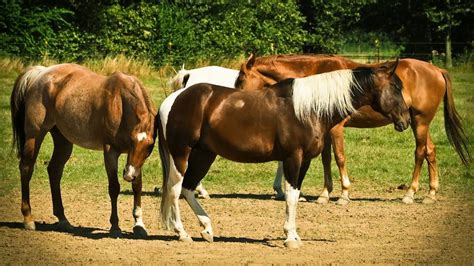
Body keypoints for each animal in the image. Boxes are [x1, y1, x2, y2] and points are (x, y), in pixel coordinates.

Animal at [10, 64, 157, 237]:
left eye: (149, 146)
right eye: (133, 141)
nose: (128, 175)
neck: (120, 104)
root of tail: (40, 73)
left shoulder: (135, 161)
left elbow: (137, 186)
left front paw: (139, 225)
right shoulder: (110, 152)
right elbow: (114, 188)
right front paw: (115, 227)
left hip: (63, 141)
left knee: (54, 171)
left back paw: (63, 220)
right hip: (35, 135)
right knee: (26, 168)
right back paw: (28, 218)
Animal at [235, 53, 472, 205]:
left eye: (241, 80)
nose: (236, 101)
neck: (314, 78)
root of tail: (436, 69)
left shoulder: (336, 128)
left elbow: (339, 158)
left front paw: (344, 194)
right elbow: (326, 159)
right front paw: (324, 194)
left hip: (420, 122)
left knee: (420, 152)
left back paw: (410, 193)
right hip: (417, 122)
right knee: (431, 151)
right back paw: (431, 193)